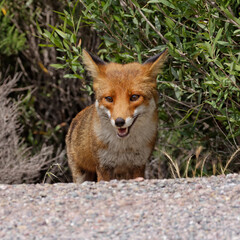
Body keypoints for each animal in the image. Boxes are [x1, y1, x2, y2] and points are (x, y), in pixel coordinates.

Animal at [65, 49, 167, 183]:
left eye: (134, 97)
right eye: (109, 98)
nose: (119, 122)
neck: (123, 148)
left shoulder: (138, 165)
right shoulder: (103, 166)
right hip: (81, 175)